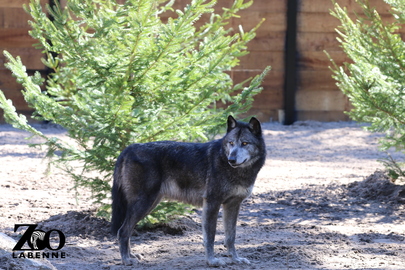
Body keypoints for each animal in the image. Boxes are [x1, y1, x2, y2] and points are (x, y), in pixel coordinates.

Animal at [112, 115, 266, 266]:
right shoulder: (212, 203)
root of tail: (128, 148)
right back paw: (126, 260)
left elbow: (230, 236)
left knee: (127, 231)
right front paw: (212, 261)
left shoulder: (233, 205)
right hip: (144, 204)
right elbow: (210, 237)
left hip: (150, 204)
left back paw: (132, 256)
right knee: (122, 231)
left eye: (245, 143)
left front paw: (236, 259)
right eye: (231, 143)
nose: (231, 159)